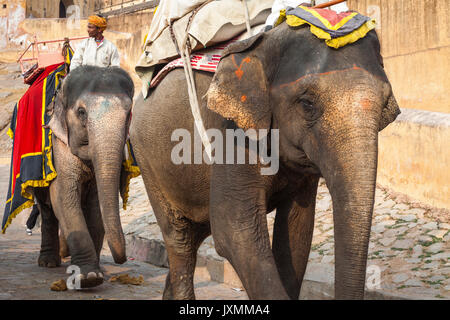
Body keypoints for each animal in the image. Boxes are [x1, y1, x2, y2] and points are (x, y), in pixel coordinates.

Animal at [34, 66, 134, 288]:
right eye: (81, 112)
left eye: (129, 113)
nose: (122, 260)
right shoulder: (59, 144)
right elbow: (63, 198)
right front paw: (89, 278)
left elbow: (96, 208)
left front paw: (95, 273)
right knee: (46, 208)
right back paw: (48, 262)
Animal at [130, 23, 400, 300]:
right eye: (307, 104)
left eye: (385, 105)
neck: (268, 41)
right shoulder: (232, 131)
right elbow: (234, 229)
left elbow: (297, 230)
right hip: (146, 159)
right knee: (180, 238)